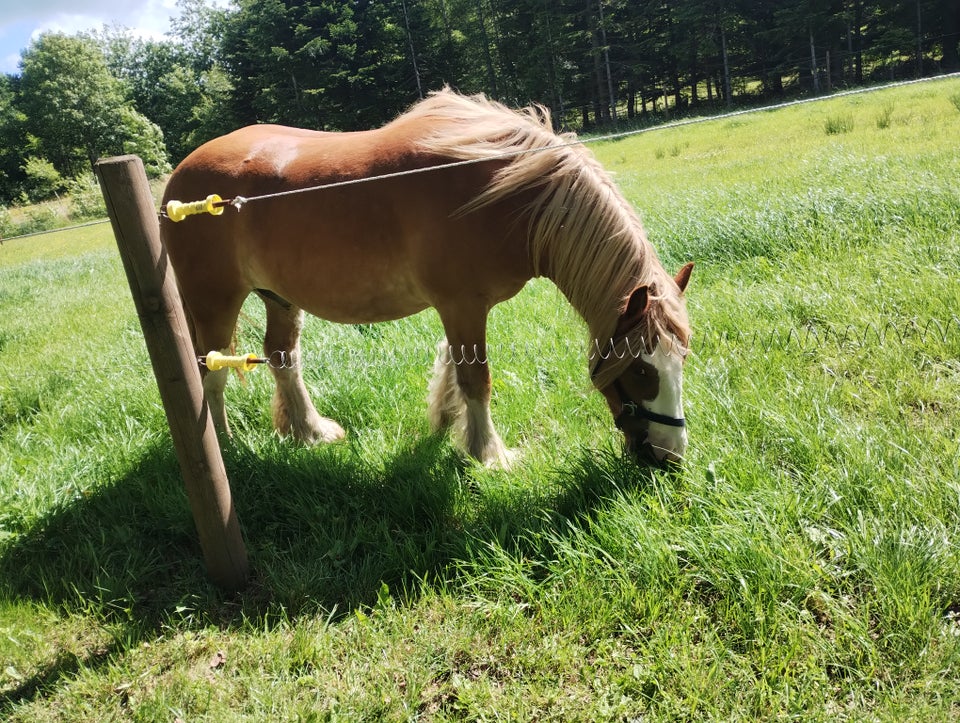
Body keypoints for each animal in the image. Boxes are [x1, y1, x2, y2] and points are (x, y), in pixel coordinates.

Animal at [161, 87, 692, 466]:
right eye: (642, 370)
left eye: (681, 360)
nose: (669, 455)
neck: (505, 191)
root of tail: (176, 185)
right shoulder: (463, 305)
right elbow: (476, 379)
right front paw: (490, 454)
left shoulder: (460, 310)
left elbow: (457, 370)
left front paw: (449, 427)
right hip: (214, 301)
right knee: (211, 371)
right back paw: (226, 447)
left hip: (278, 296)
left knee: (281, 356)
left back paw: (310, 432)